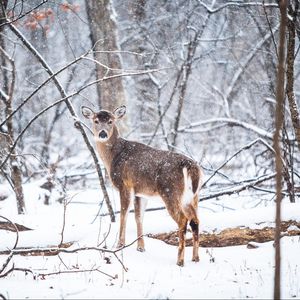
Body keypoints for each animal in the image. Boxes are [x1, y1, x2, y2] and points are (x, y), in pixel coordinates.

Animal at [81, 105, 204, 264]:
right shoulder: (140, 192)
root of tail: (190, 166)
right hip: (193, 196)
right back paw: (195, 258)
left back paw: (180, 261)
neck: (113, 156)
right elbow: (139, 217)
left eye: (110, 121)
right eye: (96, 121)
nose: (102, 133)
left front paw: (119, 245)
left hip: (170, 191)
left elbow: (124, 214)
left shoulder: (124, 185)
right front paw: (140, 247)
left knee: (183, 220)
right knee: (195, 220)